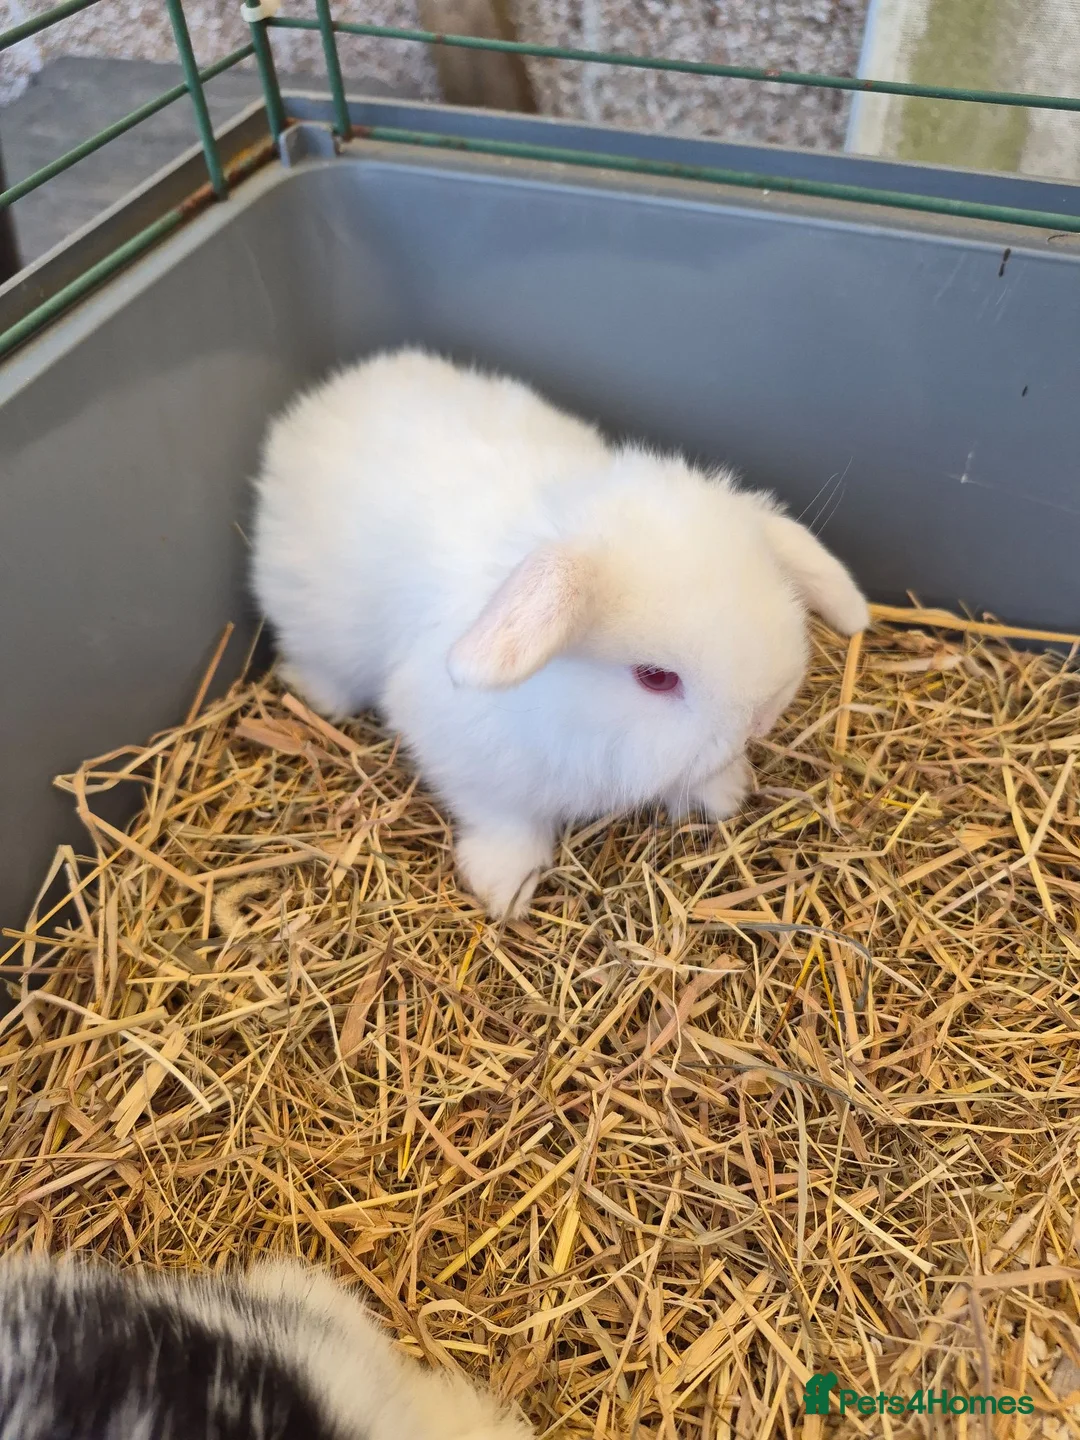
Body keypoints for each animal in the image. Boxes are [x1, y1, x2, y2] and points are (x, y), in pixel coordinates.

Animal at [251, 348, 869, 918]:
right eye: (655, 678)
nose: (762, 719)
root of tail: (335, 391)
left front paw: (725, 793)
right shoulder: (470, 761)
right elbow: (504, 820)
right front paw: (504, 889)